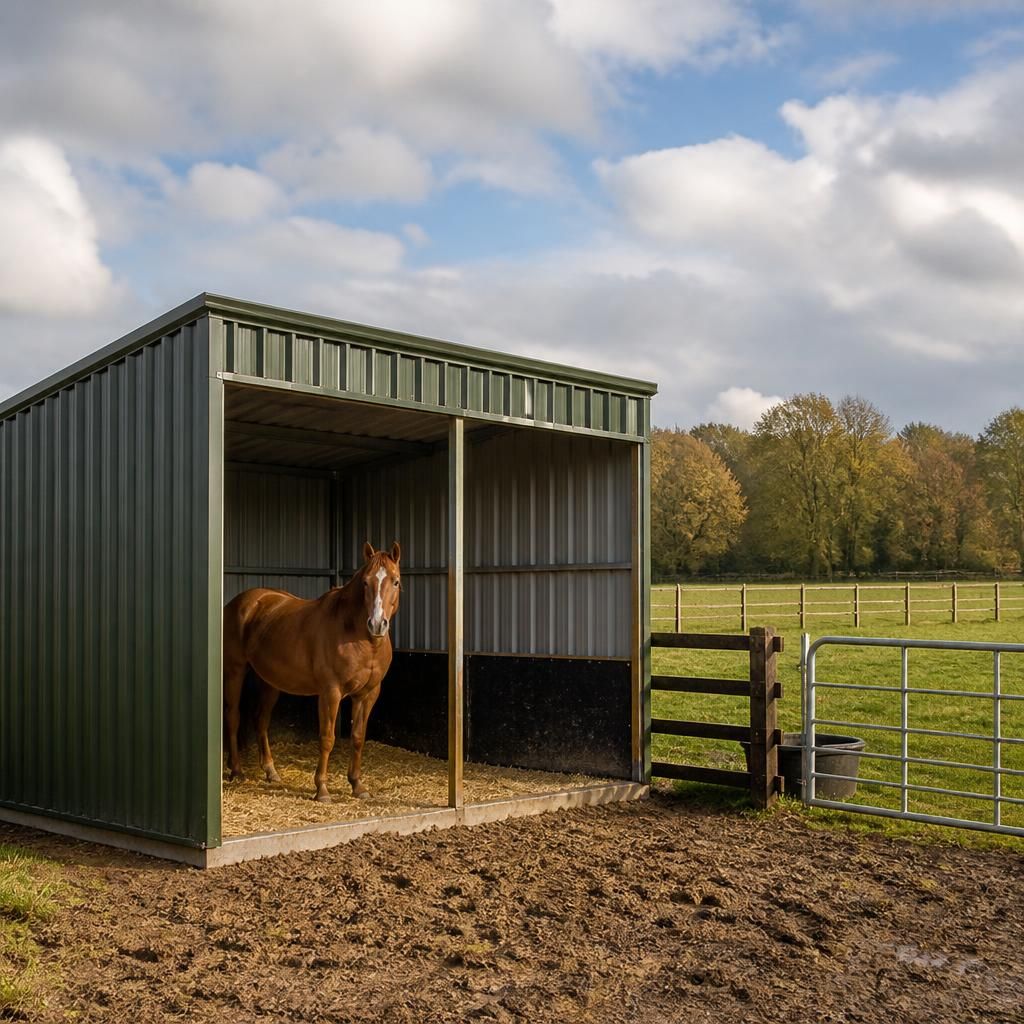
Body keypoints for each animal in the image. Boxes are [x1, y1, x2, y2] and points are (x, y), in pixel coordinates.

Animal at [222, 541, 402, 802]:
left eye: (395, 581)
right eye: (366, 582)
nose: (377, 624)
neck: (359, 637)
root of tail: (242, 602)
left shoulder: (368, 694)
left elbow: (358, 737)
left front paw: (357, 785)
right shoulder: (330, 692)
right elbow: (327, 738)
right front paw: (322, 789)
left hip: (271, 682)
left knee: (261, 720)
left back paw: (271, 771)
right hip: (235, 670)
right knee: (233, 716)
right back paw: (237, 771)